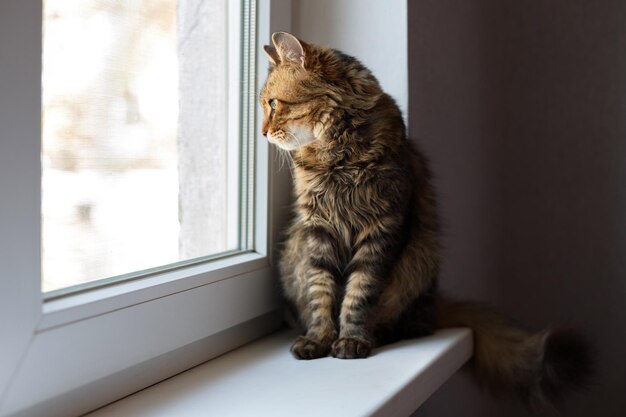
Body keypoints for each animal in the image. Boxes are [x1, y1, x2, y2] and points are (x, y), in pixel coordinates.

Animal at [258, 31, 588, 406]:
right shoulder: (317, 230)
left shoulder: (381, 229)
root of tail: (433, 302)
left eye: (273, 104)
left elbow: (358, 295)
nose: (262, 132)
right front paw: (319, 339)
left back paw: (381, 334)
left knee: (407, 323)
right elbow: (321, 294)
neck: (335, 153)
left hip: (419, 261)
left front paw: (352, 339)